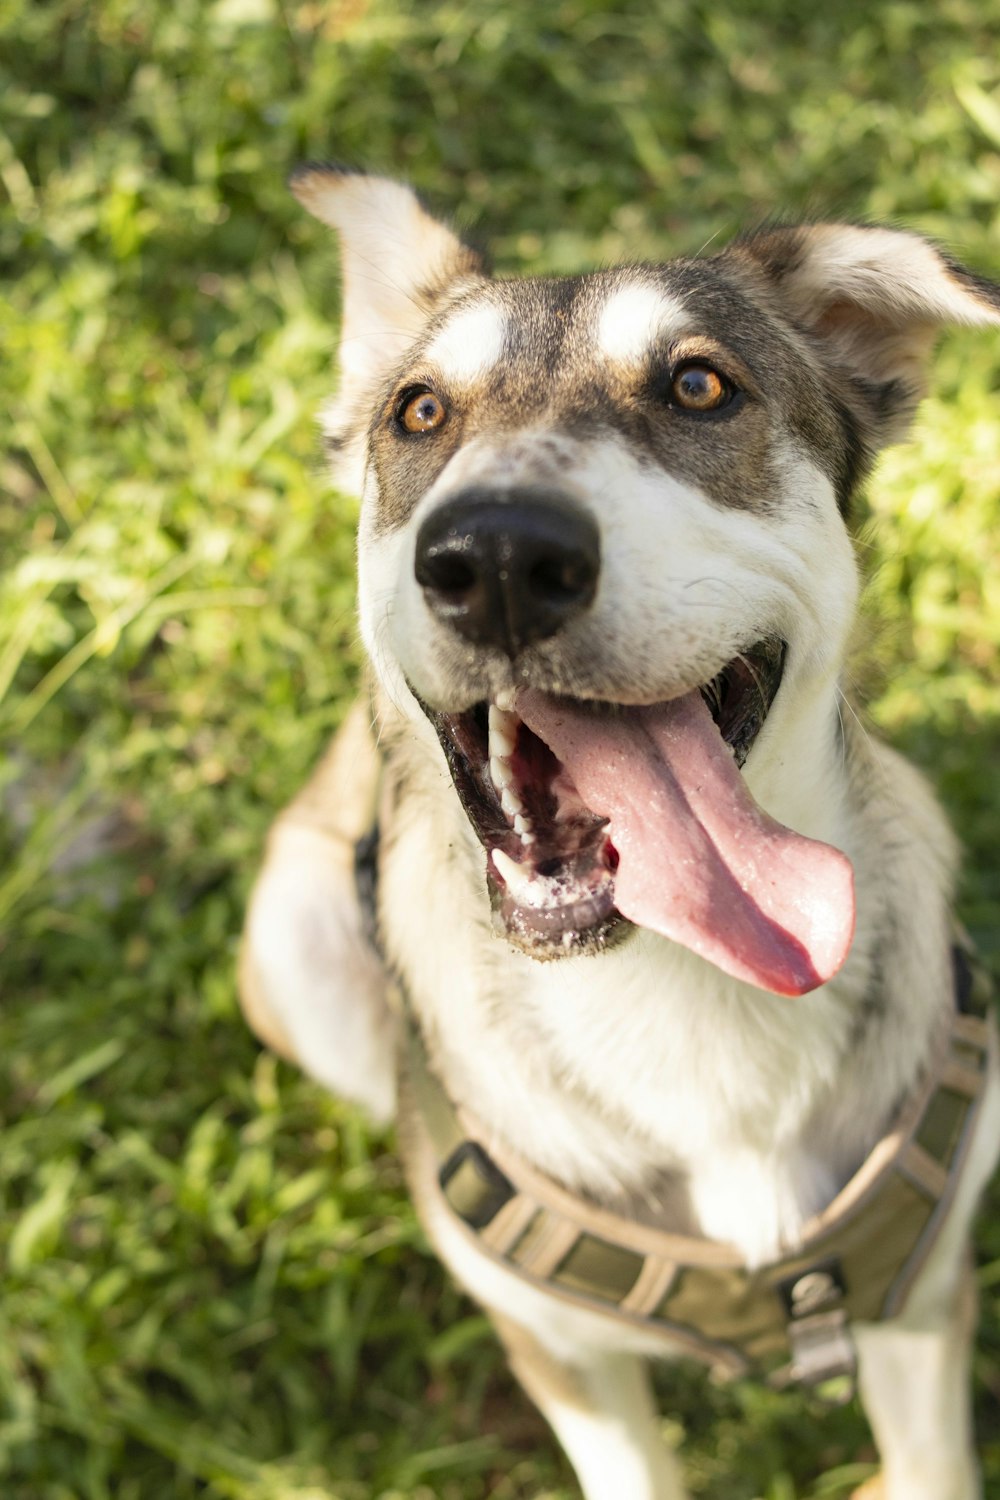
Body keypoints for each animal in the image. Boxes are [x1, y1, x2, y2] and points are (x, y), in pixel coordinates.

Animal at [242, 170, 1000, 1494]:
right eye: (420, 410)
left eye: (699, 385)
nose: (497, 555)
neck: (688, 995)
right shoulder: (566, 1362)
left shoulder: (920, 1302)